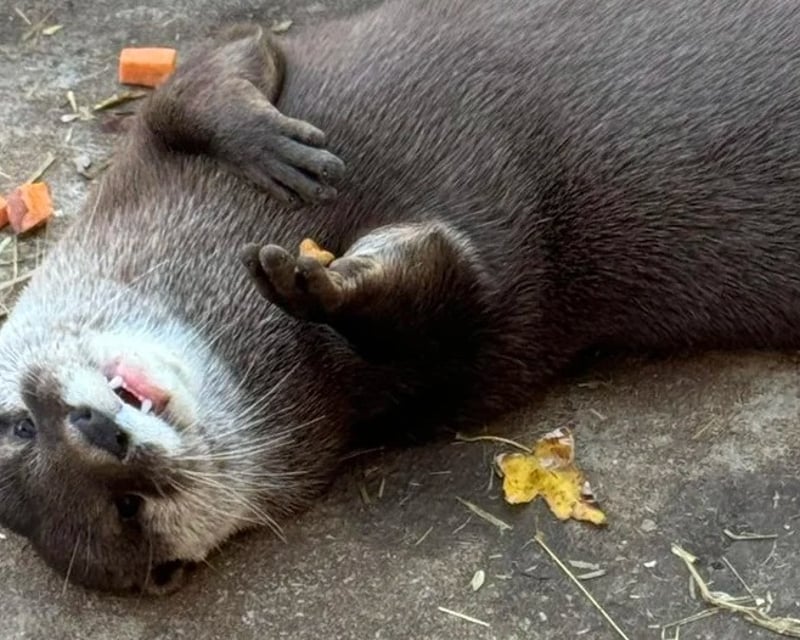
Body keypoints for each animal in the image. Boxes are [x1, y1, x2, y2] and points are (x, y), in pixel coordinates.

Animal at [2, 0, 800, 595]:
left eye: (19, 426)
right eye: (127, 512)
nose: (103, 435)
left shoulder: (146, 152)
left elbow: (205, 73)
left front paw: (265, 143)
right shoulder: (437, 387)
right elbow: (456, 308)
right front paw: (325, 288)